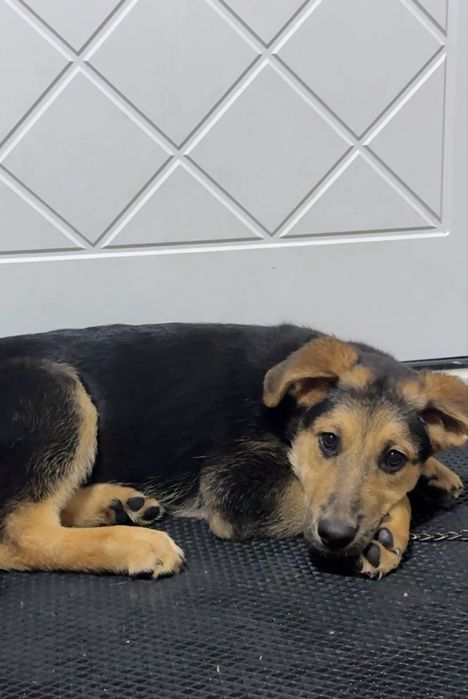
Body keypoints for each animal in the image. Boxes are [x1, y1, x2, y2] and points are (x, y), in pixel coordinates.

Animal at [0, 323, 465, 579]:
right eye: (329, 440)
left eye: (393, 458)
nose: (335, 537)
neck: (289, 411)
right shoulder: (236, 487)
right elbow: (382, 500)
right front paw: (390, 531)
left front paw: (433, 474)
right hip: (54, 388)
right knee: (19, 534)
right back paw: (136, 545)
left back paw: (119, 504)